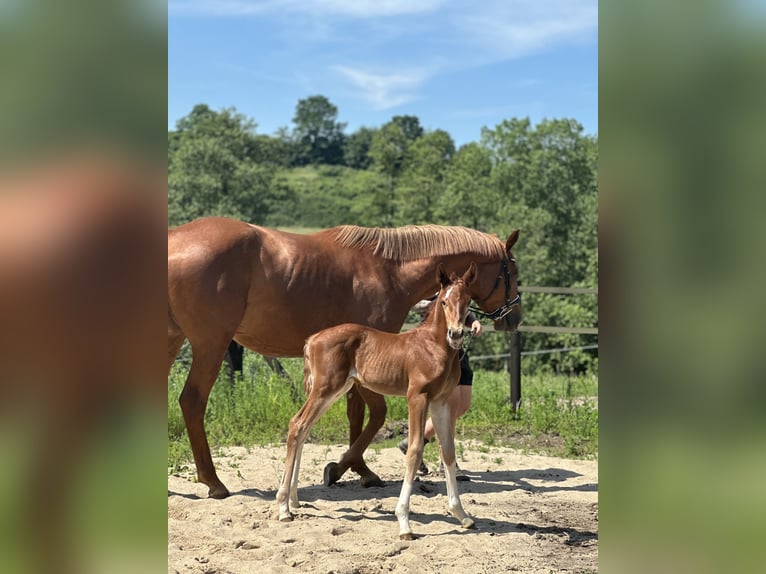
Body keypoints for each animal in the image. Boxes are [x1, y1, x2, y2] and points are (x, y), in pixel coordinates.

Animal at [165, 216, 520, 500]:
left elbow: (356, 413)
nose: (514, 318)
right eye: (513, 271)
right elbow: (375, 414)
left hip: (171, 341)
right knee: (192, 402)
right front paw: (342, 468)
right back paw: (213, 481)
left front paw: (356, 469)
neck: (387, 270)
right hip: (210, 345)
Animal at [276, 264, 480, 544]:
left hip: (334, 391)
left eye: (468, 301)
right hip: (324, 390)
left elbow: (448, 451)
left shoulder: (441, 402)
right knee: (297, 425)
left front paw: (461, 515)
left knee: (303, 429)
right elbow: (414, 450)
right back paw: (283, 508)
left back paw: (294, 500)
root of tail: (312, 339)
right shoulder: (417, 397)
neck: (432, 347)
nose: (456, 334)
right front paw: (404, 523)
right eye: (444, 301)